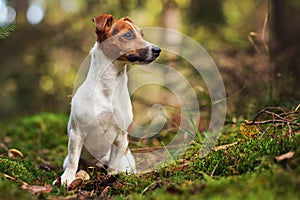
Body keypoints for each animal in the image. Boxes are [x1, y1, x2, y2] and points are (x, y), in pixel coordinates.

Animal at [54, 13, 162, 186]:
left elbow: (113, 164)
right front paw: (67, 178)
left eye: (142, 34)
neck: (108, 89)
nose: (158, 50)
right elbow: (73, 161)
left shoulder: (121, 138)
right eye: (128, 35)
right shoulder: (77, 134)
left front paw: (111, 177)